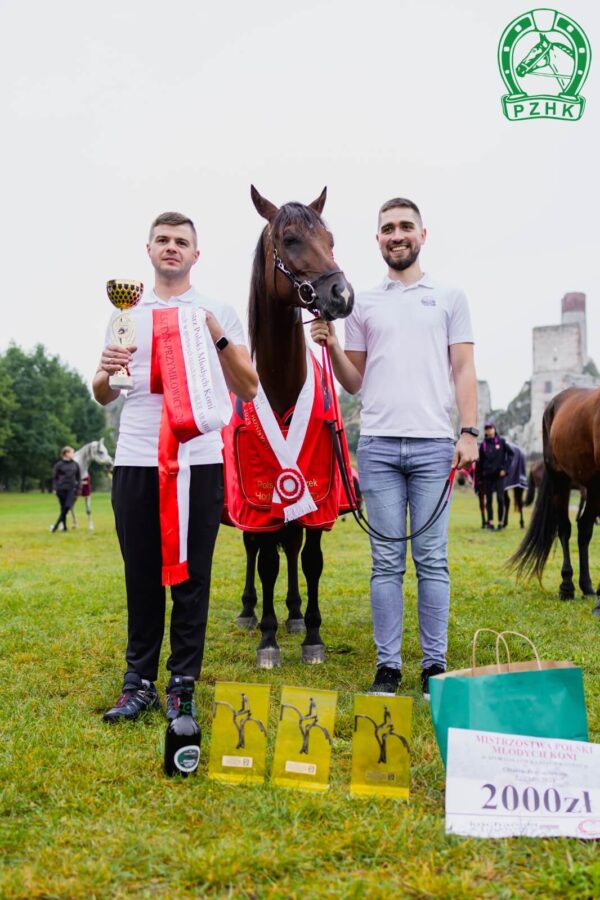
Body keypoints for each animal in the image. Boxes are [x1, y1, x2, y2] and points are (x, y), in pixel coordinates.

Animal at [225, 188, 356, 668]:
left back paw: (296, 614)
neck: (282, 390)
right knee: (256, 551)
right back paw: (250, 613)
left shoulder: (319, 491)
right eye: (290, 238)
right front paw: (267, 639)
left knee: (295, 548)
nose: (341, 294)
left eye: (330, 238)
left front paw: (311, 634)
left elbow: (311, 558)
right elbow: (265, 562)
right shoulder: (259, 497)